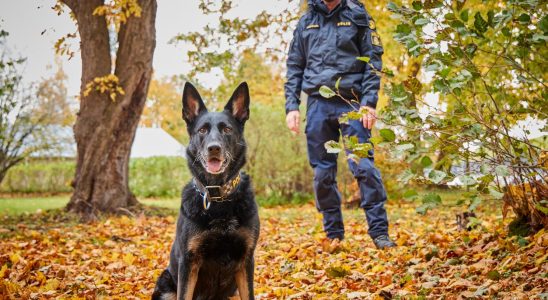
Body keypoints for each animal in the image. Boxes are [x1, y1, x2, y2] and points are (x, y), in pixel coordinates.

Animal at [152, 82, 260, 300]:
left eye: (227, 129)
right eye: (202, 130)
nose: (214, 148)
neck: (217, 196)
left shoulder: (246, 260)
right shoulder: (188, 263)